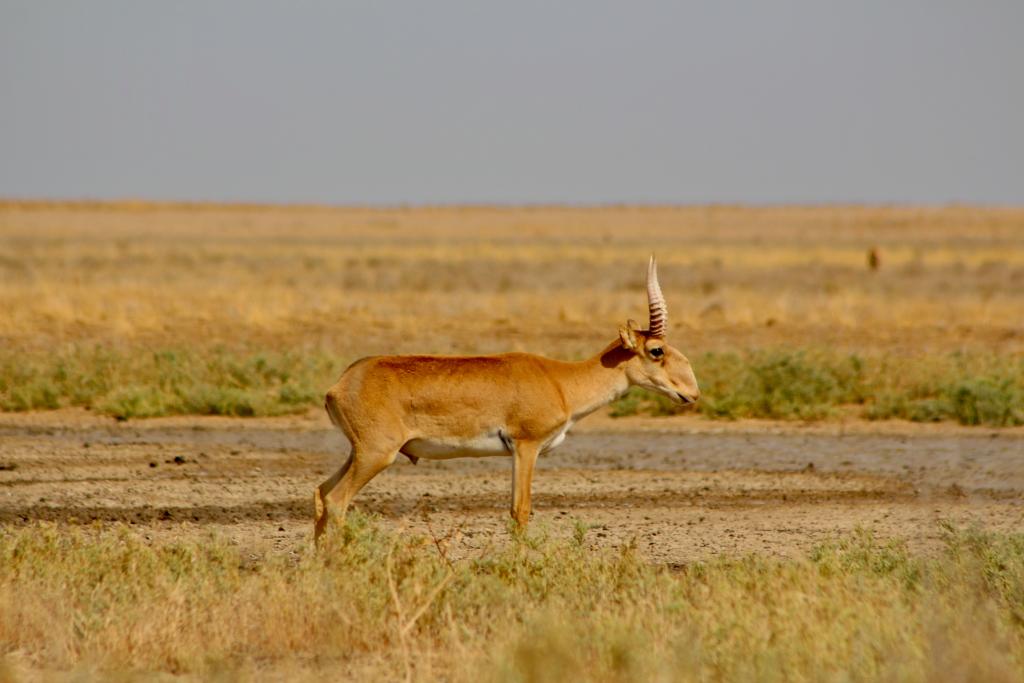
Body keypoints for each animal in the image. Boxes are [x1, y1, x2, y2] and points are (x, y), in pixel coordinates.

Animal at [313, 255, 696, 540]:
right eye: (657, 350)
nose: (691, 393)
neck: (560, 381)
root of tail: (341, 384)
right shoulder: (526, 447)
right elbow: (519, 509)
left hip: (359, 453)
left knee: (320, 492)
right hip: (376, 454)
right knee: (336, 500)